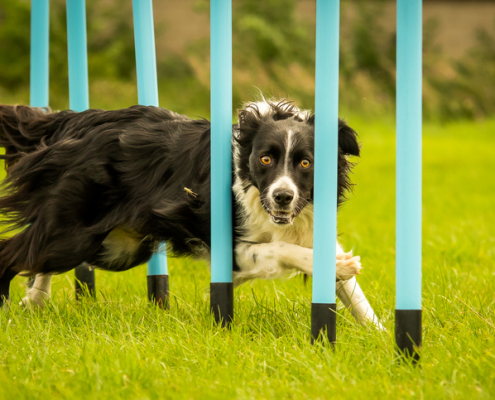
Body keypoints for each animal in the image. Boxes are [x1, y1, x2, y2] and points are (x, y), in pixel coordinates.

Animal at [0, 99, 382, 328]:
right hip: (75, 233)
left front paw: (378, 337)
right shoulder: (232, 248)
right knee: (12, 253)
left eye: (305, 163)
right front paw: (340, 265)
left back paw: (35, 299)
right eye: (265, 159)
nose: (283, 197)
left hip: (118, 247)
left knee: (38, 258)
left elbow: (354, 297)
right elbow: (281, 249)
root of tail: (77, 121)